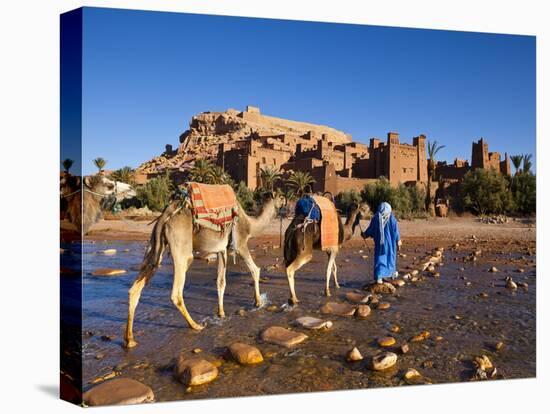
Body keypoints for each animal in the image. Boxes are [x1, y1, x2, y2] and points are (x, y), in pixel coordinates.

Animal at [125, 189, 286, 348]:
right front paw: (258, 302)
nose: (286, 201)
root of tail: (166, 215)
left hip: (155, 244)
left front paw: (221, 313)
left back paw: (130, 339)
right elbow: (255, 270)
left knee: (137, 286)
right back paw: (196, 325)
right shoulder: (240, 243)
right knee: (176, 292)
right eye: (281, 196)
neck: (250, 224)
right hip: (182, 247)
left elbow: (221, 282)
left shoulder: (222, 250)